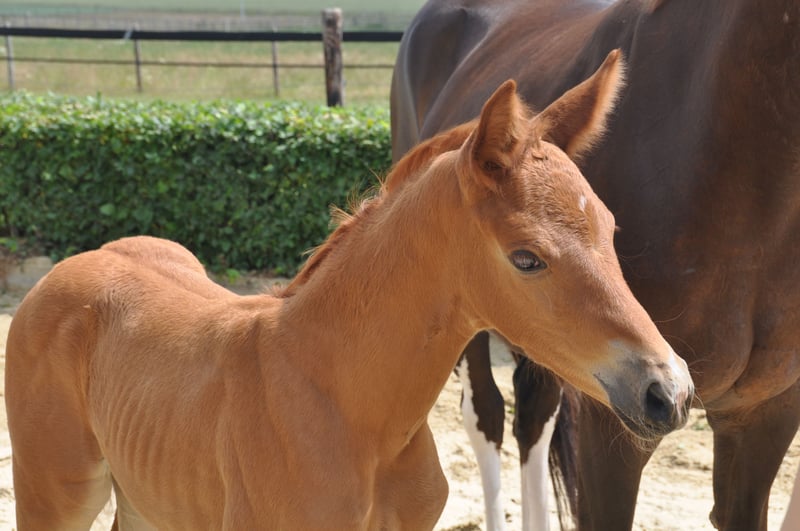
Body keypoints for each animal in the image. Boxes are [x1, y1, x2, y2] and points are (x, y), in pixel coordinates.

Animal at [5, 57, 694, 530]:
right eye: (527, 259)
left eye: (610, 230)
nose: (669, 391)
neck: (351, 407)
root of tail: (72, 266)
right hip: (54, 497)